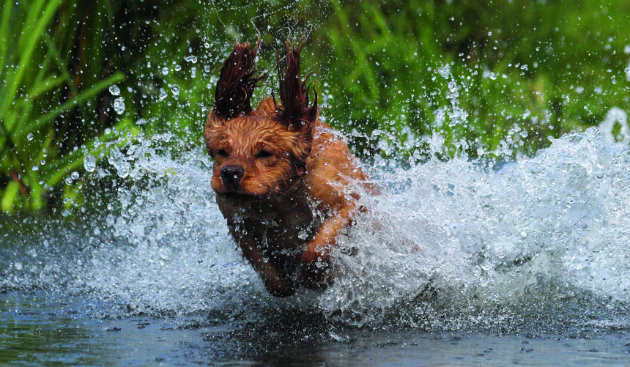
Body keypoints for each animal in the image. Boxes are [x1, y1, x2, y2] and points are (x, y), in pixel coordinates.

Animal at [205, 40, 370, 298]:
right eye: (222, 151)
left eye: (264, 153)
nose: (230, 174)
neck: (280, 199)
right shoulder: (235, 221)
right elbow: (258, 259)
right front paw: (281, 284)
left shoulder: (350, 202)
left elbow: (321, 242)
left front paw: (314, 276)